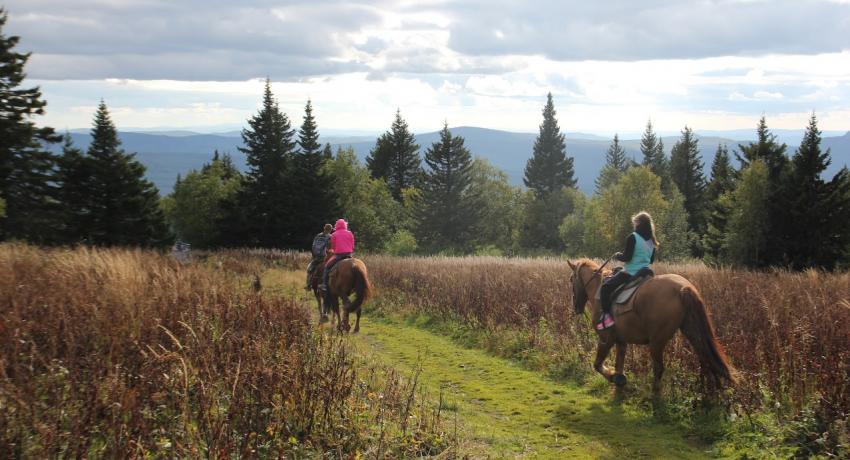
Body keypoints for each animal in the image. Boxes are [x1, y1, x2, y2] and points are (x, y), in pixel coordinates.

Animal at [568, 256, 736, 394]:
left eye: (571, 279)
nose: (576, 307)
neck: (597, 288)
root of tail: (683, 288)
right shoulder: (621, 341)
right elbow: (619, 364)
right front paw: (619, 381)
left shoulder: (606, 339)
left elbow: (597, 365)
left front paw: (614, 378)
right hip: (692, 333)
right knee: (706, 360)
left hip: (657, 342)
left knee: (659, 368)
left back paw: (655, 395)